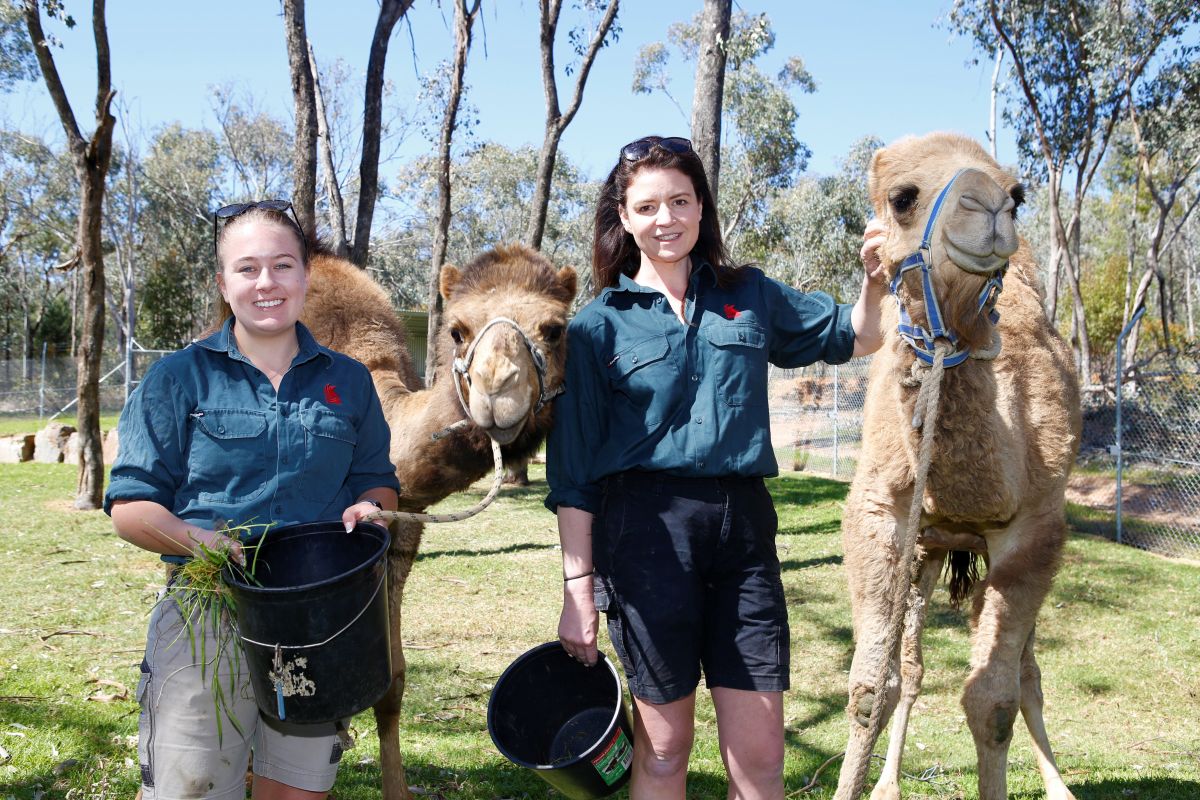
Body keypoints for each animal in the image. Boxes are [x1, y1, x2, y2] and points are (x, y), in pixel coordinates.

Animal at [830, 131, 1084, 800]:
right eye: (901, 197)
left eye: (1019, 194)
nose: (988, 207)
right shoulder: (881, 512)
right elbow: (872, 689)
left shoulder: (1036, 528)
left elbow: (993, 701)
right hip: (928, 548)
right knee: (915, 667)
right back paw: (889, 783)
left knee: (1028, 674)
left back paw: (1059, 786)